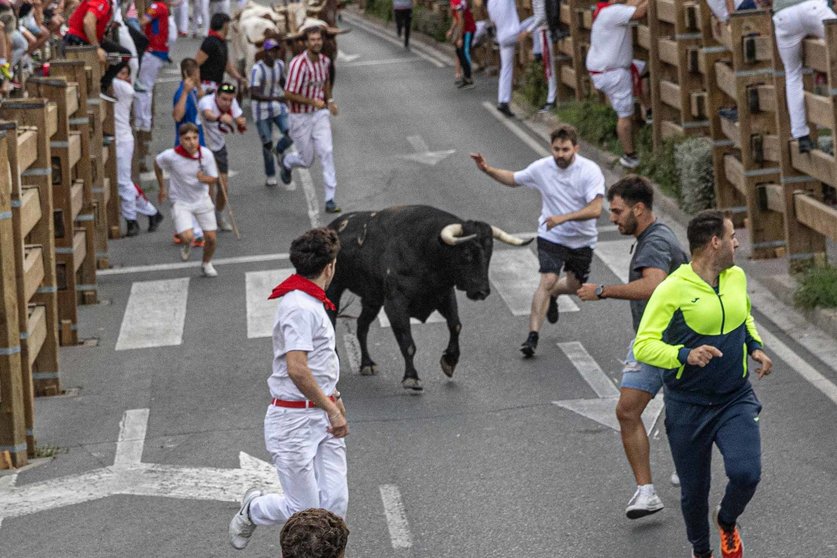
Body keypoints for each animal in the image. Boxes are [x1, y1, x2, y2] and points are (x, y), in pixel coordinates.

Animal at [324, 206, 528, 394]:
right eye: (467, 253)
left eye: (490, 252)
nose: (482, 291)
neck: (425, 249)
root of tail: (332, 227)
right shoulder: (395, 304)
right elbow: (408, 343)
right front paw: (411, 377)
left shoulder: (445, 295)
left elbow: (455, 325)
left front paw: (449, 361)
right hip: (334, 288)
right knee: (331, 318)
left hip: (372, 298)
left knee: (362, 325)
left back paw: (367, 363)